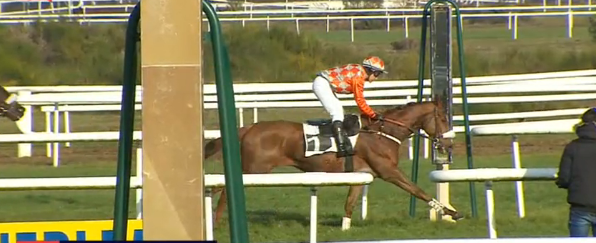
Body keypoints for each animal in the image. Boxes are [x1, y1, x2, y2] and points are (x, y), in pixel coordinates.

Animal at [205, 98, 466, 228]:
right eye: (444, 118)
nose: (449, 144)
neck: (383, 132)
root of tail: (248, 128)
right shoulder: (388, 171)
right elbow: (417, 190)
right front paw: (451, 212)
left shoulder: (362, 174)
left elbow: (350, 203)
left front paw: (345, 227)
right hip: (254, 170)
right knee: (225, 190)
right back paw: (215, 221)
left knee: (220, 187)